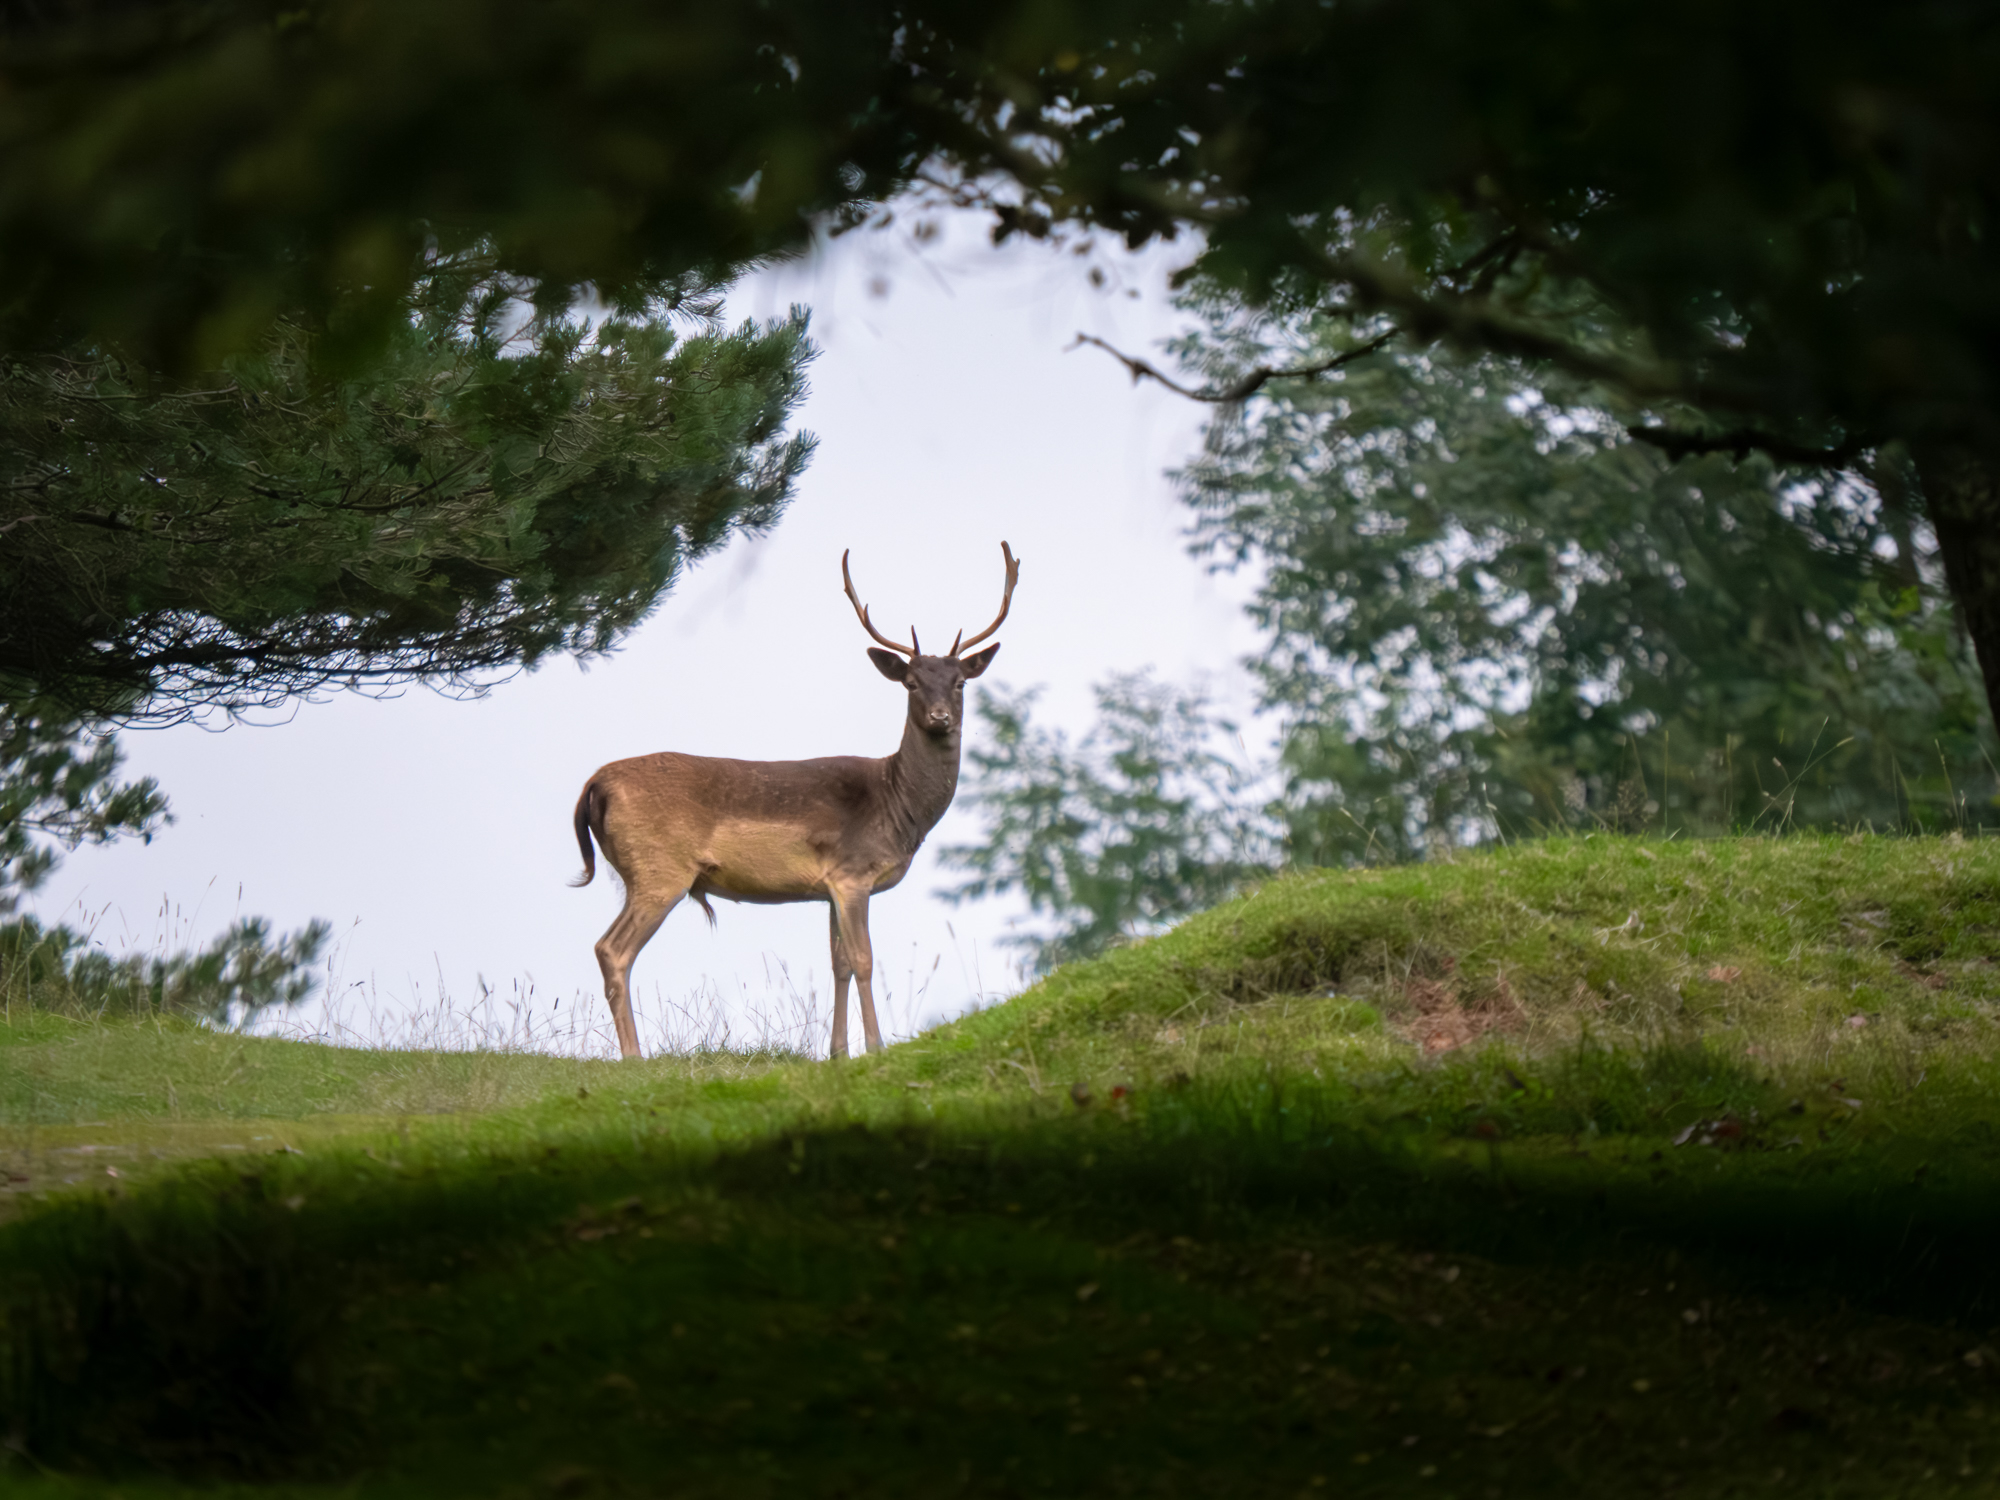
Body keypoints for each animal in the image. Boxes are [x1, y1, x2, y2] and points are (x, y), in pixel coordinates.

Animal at [569, 543, 1019, 1060]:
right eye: (910, 683)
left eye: (960, 682)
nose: (941, 716)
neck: (898, 809)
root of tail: (593, 787)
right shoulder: (852, 873)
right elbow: (864, 959)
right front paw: (876, 1047)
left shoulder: (829, 886)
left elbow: (838, 963)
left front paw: (839, 1053)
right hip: (658, 868)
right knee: (612, 949)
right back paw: (634, 1057)